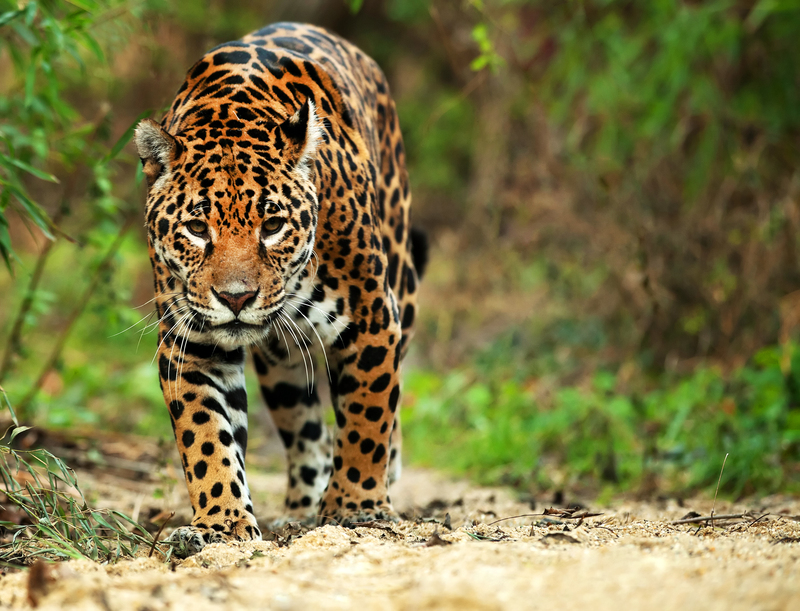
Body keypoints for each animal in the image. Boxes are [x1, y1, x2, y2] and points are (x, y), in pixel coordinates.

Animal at [133, 22, 426, 558]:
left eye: (272, 225)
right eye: (196, 229)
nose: (235, 299)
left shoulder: (373, 319)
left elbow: (368, 415)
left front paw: (356, 508)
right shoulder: (192, 344)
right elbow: (206, 437)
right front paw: (223, 523)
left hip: (403, 284)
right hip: (283, 364)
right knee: (305, 430)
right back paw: (299, 508)